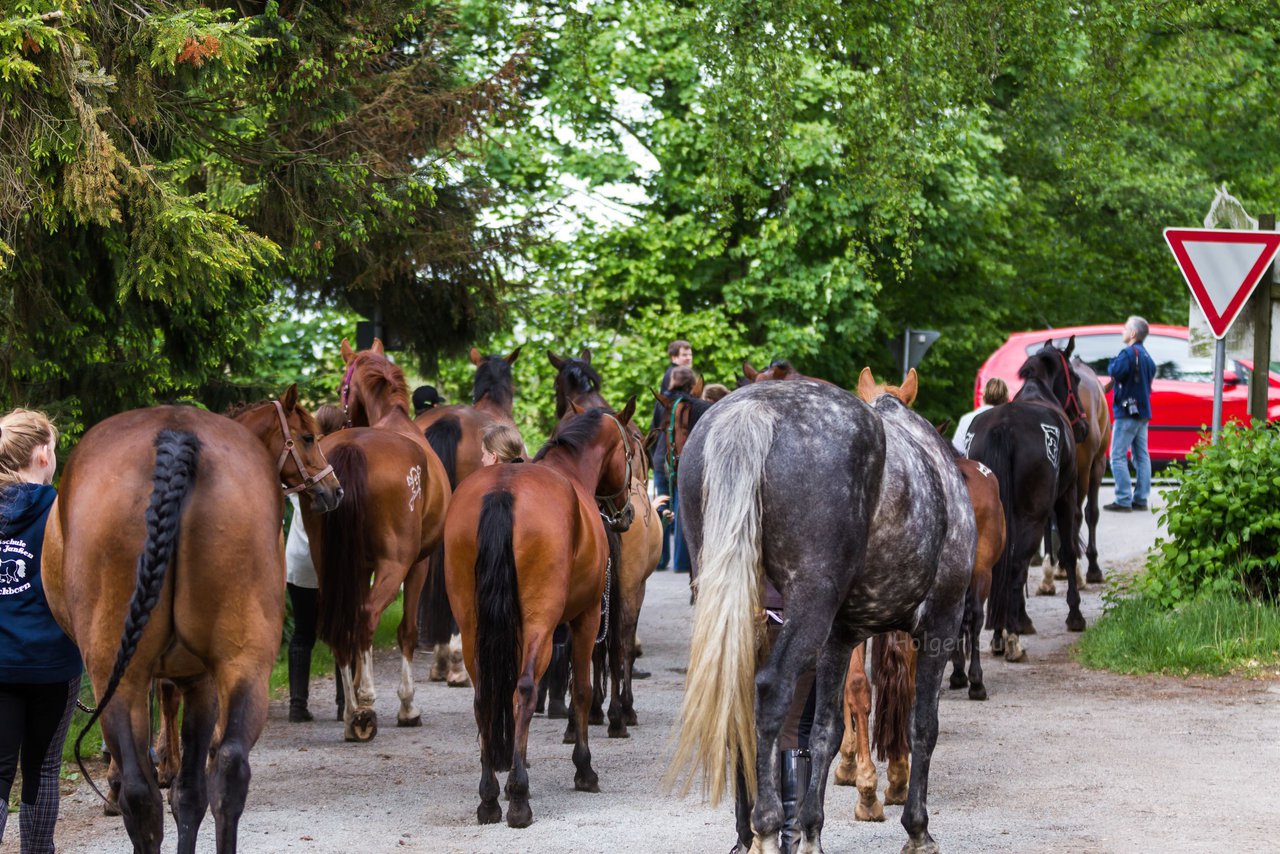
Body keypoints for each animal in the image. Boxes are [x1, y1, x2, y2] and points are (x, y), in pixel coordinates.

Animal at [43, 389, 343, 854]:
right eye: (309, 437)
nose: (334, 490)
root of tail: (177, 437)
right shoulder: (195, 674)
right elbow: (189, 786)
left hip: (121, 674)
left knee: (144, 795)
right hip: (241, 662)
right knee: (226, 773)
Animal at [303, 340, 453, 742]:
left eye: (342, 386)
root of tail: (354, 445)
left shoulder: (357, 566)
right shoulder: (418, 564)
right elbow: (408, 631)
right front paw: (407, 706)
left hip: (329, 564)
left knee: (342, 625)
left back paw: (352, 713)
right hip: (396, 564)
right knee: (367, 616)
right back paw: (366, 704)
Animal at [445, 402, 640, 829]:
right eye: (632, 450)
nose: (628, 510)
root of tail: (503, 490)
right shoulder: (585, 617)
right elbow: (581, 690)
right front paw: (584, 769)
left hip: (471, 625)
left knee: (484, 697)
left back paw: (489, 798)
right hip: (540, 624)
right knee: (524, 690)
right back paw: (518, 798)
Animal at [665, 381, 972, 854]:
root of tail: (753, 410)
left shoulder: (839, 639)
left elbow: (825, 733)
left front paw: (812, 831)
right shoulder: (941, 624)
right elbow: (923, 726)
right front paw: (918, 829)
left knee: (737, 701)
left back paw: (749, 832)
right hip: (809, 605)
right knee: (770, 690)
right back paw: (766, 826)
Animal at [962, 338, 1085, 665]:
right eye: (1076, 378)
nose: (1082, 426)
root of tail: (1003, 427)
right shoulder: (1065, 497)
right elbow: (1067, 551)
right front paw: (1075, 615)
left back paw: (999, 635)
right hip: (1033, 514)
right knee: (1016, 566)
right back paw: (1011, 638)